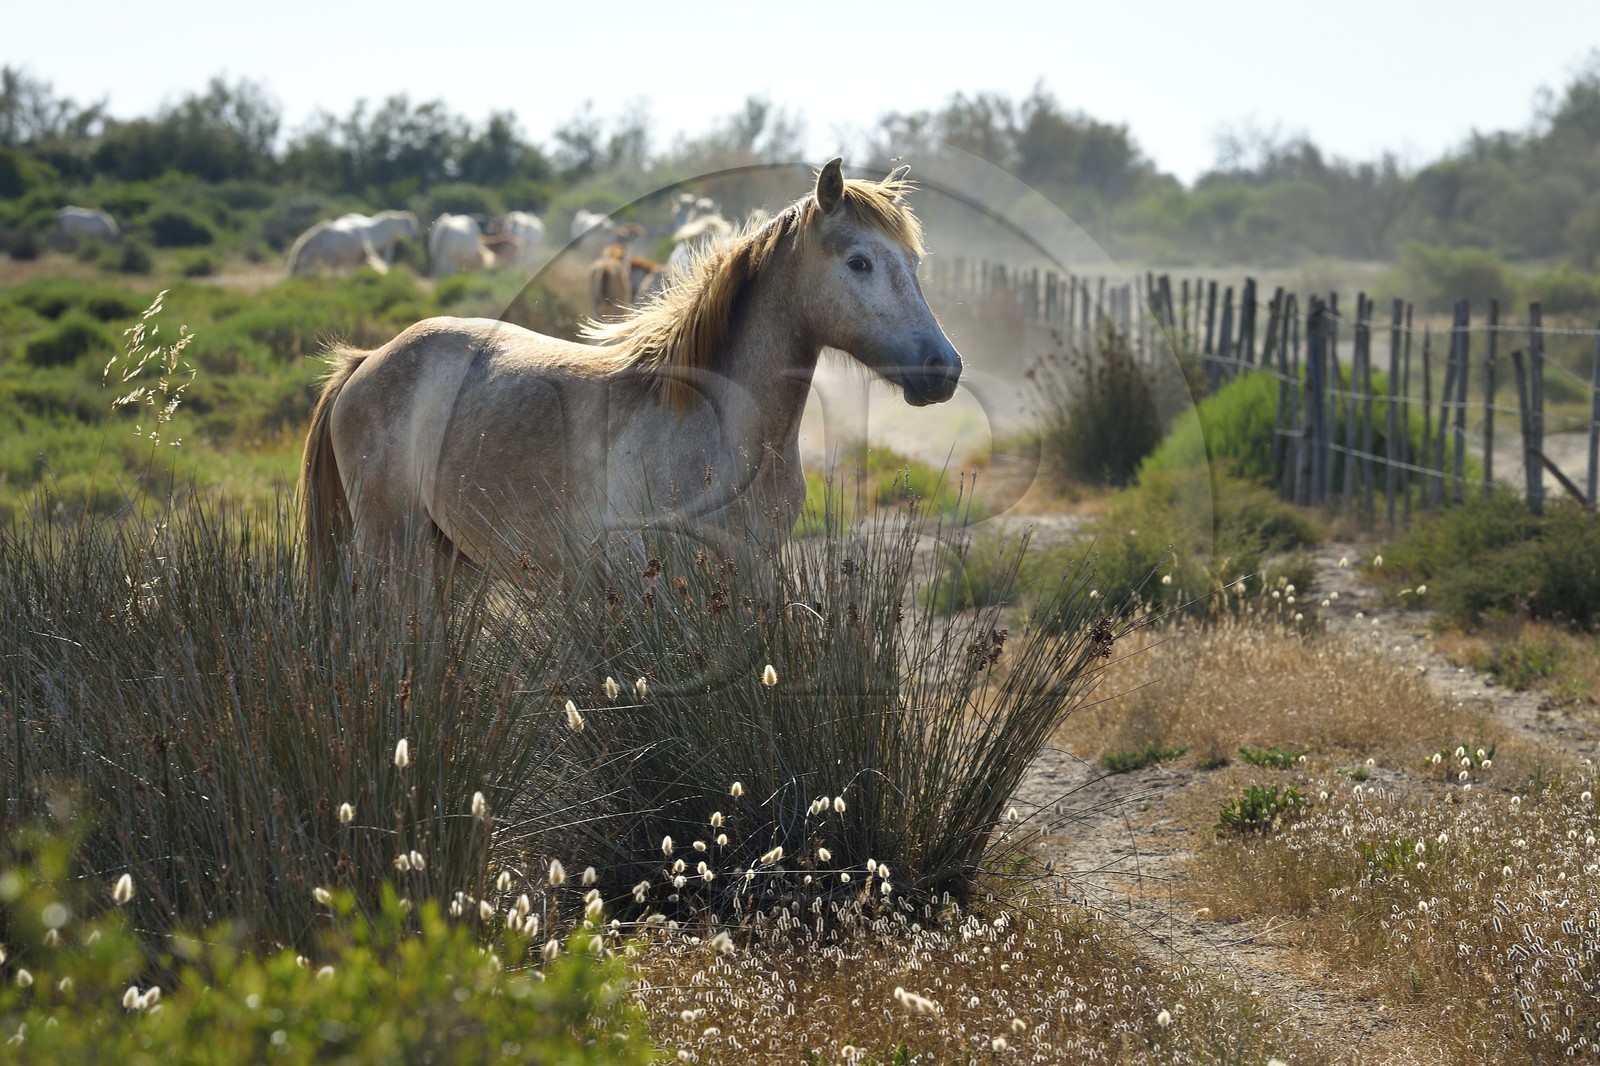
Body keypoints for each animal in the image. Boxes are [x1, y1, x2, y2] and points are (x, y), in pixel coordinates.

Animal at [300, 159, 962, 576]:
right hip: (394, 550)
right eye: (859, 262)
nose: (945, 368)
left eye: (914, 262)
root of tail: (368, 360)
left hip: (451, 560)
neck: (713, 422)